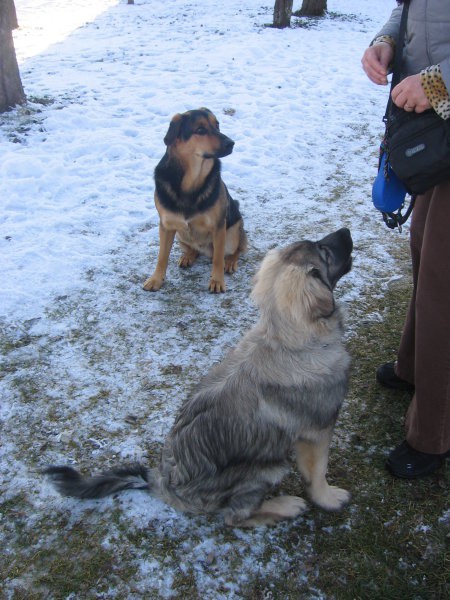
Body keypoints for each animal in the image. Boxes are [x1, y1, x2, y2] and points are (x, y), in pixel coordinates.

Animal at [46, 227, 356, 528]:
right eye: (324, 252)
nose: (346, 230)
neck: (291, 341)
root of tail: (163, 483)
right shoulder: (317, 431)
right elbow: (317, 473)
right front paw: (328, 498)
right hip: (267, 467)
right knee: (235, 517)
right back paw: (284, 506)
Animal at [143, 109, 246, 296]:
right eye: (200, 130)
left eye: (217, 125)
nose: (231, 143)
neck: (190, 181)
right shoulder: (166, 225)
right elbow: (162, 256)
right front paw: (156, 279)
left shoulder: (219, 226)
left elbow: (218, 259)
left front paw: (217, 281)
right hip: (180, 233)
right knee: (193, 249)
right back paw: (188, 256)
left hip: (232, 233)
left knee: (238, 249)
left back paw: (230, 261)